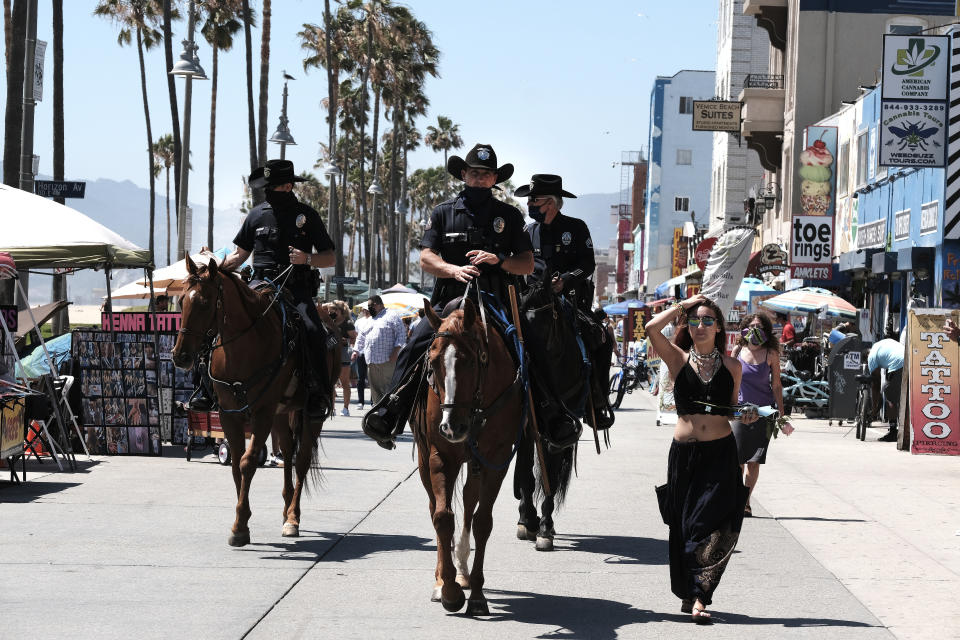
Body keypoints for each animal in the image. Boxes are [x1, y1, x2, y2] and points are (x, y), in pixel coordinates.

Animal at [172, 258, 338, 548]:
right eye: (181, 301)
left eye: (204, 302)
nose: (180, 356)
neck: (244, 346)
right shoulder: (229, 414)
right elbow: (236, 464)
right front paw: (243, 520)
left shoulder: (262, 413)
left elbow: (247, 462)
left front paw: (239, 527)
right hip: (283, 413)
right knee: (287, 453)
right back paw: (285, 510)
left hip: (307, 414)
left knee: (302, 460)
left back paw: (293, 517)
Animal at [408, 296, 520, 616]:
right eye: (432, 361)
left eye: (470, 360)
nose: (451, 426)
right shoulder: (440, 455)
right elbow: (443, 517)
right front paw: (448, 591)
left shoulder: (496, 459)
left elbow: (482, 522)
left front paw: (478, 595)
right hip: (427, 460)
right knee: (435, 507)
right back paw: (443, 578)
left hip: (474, 462)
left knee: (470, 501)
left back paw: (463, 569)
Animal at [516, 284, 616, 552]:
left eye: (543, 327)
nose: (527, 371)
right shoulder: (529, 426)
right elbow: (527, 473)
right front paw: (528, 520)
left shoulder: (562, 428)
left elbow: (550, 472)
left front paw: (544, 527)